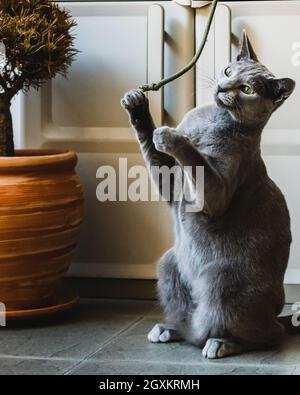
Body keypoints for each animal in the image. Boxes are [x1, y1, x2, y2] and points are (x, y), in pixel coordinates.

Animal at [120, 31, 296, 358]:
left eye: (247, 89)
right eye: (228, 71)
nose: (222, 86)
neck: (213, 118)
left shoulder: (215, 194)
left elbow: (196, 159)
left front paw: (173, 137)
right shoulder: (172, 183)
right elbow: (152, 148)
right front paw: (137, 105)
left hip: (222, 280)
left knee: (268, 335)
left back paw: (220, 343)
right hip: (168, 263)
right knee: (192, 326)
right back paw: (171, 329)